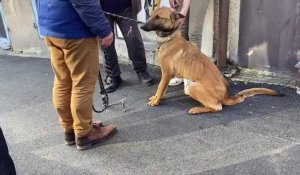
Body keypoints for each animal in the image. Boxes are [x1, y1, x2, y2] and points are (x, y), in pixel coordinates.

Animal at [141, 7, 282, 115]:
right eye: (152, 15)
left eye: (158, 17)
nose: (141, 26)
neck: (169, 38)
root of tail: (226, 96)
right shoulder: (167, 74)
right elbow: (162, 89)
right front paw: (156, 98)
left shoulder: (166, 73)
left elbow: (160, 87)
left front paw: (156, 101)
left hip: (193, 87)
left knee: (217, 107)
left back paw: (197, 109)